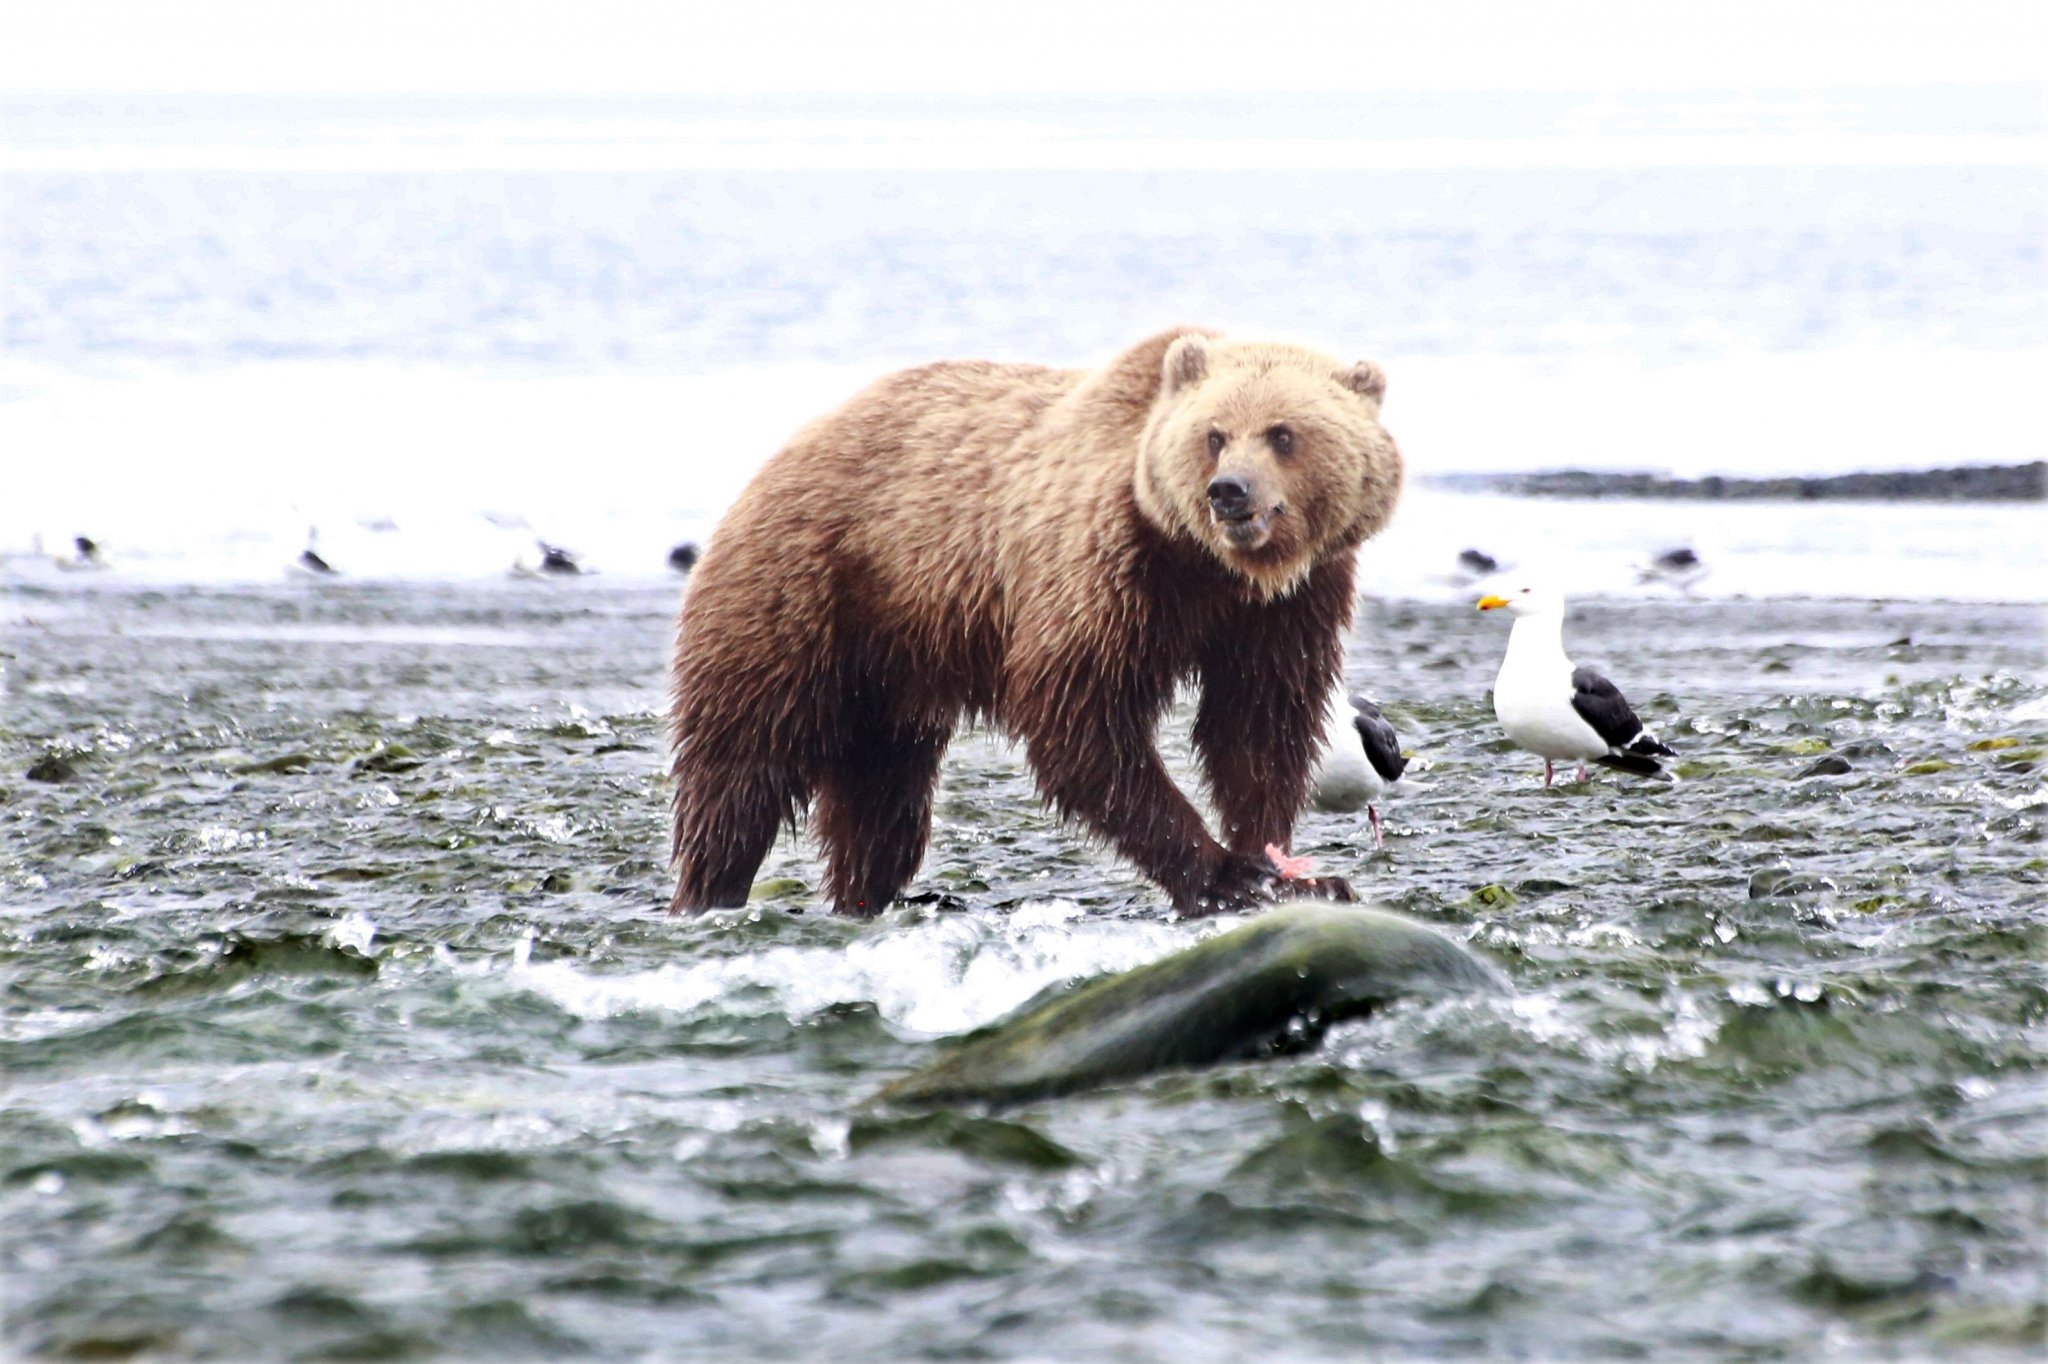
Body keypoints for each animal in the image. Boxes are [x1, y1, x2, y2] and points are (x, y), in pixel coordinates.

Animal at [668, 326, 1403, 918]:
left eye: (1284, 434)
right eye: (1214, 435)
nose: (1230, 492)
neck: (1206, 565)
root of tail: (784, 450)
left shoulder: (1286, 608)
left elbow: (1258, 725)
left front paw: (1291, 870)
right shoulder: (1104, 571)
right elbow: (1081, 719)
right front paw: (1225, 874)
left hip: (891, 665)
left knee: (883, 796)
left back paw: (867, 892)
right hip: (806, 591)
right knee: (743, 765)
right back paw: (709, 891)